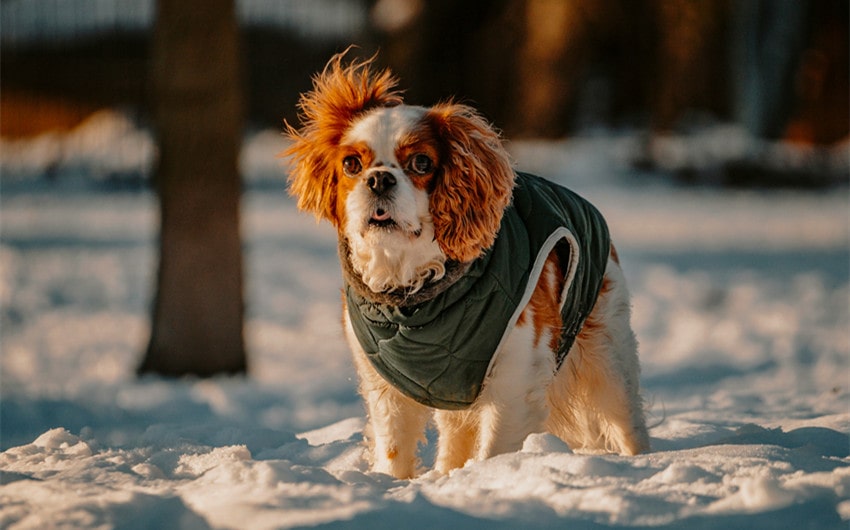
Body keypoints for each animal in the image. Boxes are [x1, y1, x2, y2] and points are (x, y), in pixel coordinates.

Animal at [284, 54, 648, 478]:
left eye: (421, 162)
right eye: (352, 164)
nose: (379, 180)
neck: (414, 289)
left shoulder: (514, 377)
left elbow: (494, 449)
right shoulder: (388, 388)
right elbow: (393, 449)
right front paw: (393, 484)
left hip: (607, 358)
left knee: (627, 420)